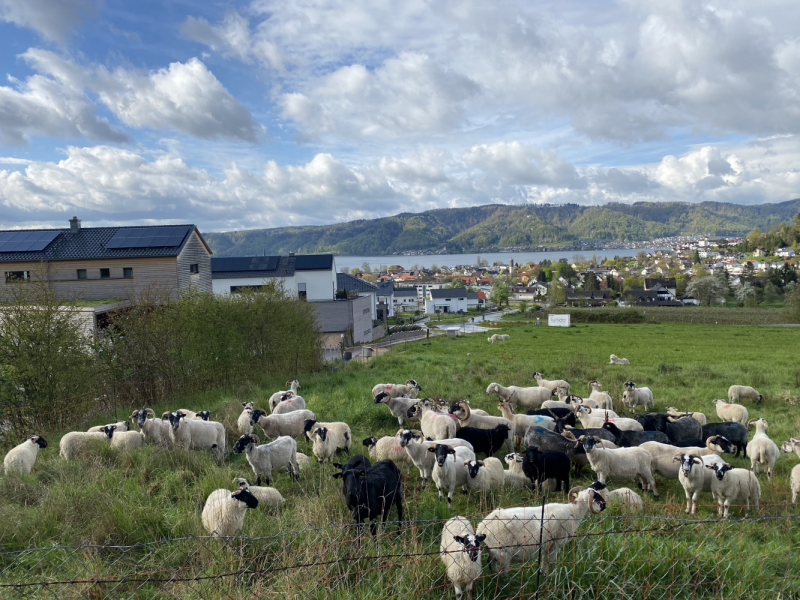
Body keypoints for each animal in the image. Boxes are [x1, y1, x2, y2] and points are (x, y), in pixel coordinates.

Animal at [476, 488, 608, 572]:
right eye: (596, 496)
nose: (605, 505)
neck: (573, 512)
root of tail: (482, 526)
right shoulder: (555, 544)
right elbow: (550, 562)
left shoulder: (546, 546)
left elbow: (544, 562)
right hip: (502, 552)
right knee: (501, 572)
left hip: (493, 551)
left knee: (491, 564)